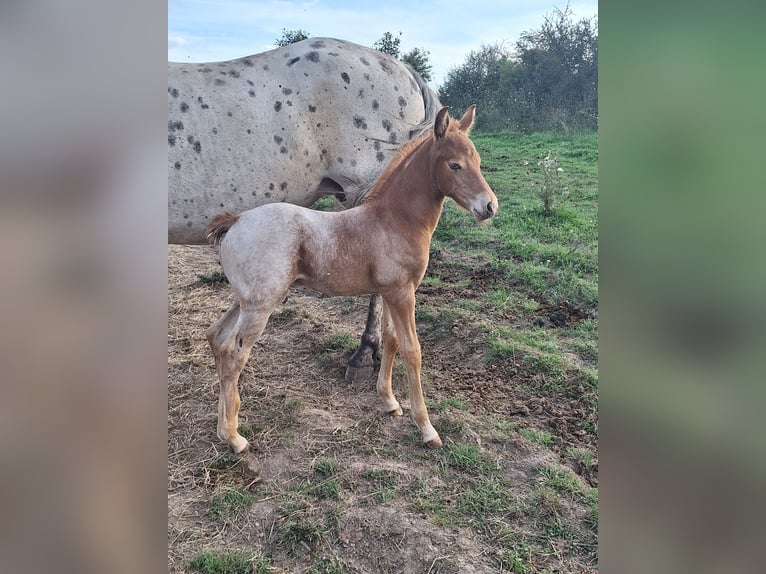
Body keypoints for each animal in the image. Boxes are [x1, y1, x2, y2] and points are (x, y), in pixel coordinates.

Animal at [207, 107, 500, 454]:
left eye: (477, 161)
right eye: (454, 165)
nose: (489, 206)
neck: (396, 219)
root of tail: (236, 221)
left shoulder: (389, 292)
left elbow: (391, 340)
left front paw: (389, 402)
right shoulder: (403, 293)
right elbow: (413, 351)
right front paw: (427, 429)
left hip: (245, 301)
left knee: (216, 337)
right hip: (260, 306)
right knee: (233, 353)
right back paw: (234, 437)